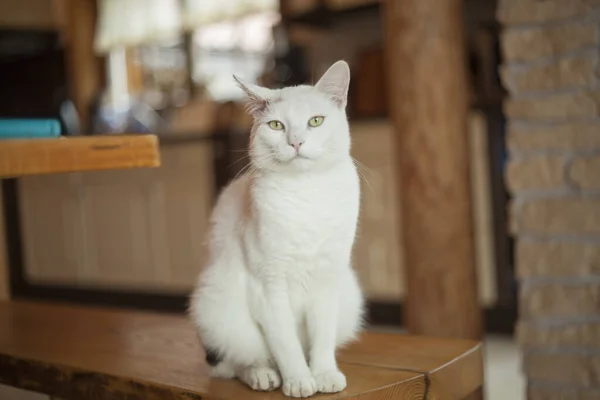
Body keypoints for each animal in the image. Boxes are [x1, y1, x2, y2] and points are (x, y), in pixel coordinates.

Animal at [190, 61, 364, 398]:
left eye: (315, 121)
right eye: (276, 126)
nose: (295, 142)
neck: (306, 194)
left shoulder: (328, 279)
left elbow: (322, 336)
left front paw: (323, 374)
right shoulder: (268, 287)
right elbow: (286, 344)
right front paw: (298, 380)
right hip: (218, 307)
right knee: (237, 362)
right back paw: (263, 375)